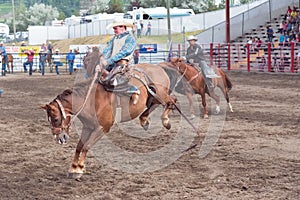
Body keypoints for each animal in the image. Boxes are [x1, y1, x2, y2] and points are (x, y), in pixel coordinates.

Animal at [41, 50, 175, 179]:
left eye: (56, 119)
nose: (59, 139)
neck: (91, 101)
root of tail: (159, 67)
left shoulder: (102, 128)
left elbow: (86, 146)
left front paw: (79, 168)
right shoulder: (88, 127)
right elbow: (79, 146)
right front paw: (73, 168)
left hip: (161, 93)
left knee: (171, 101)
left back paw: (166, 121)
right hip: (153, 96)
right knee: (157, 104)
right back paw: (144, 120)